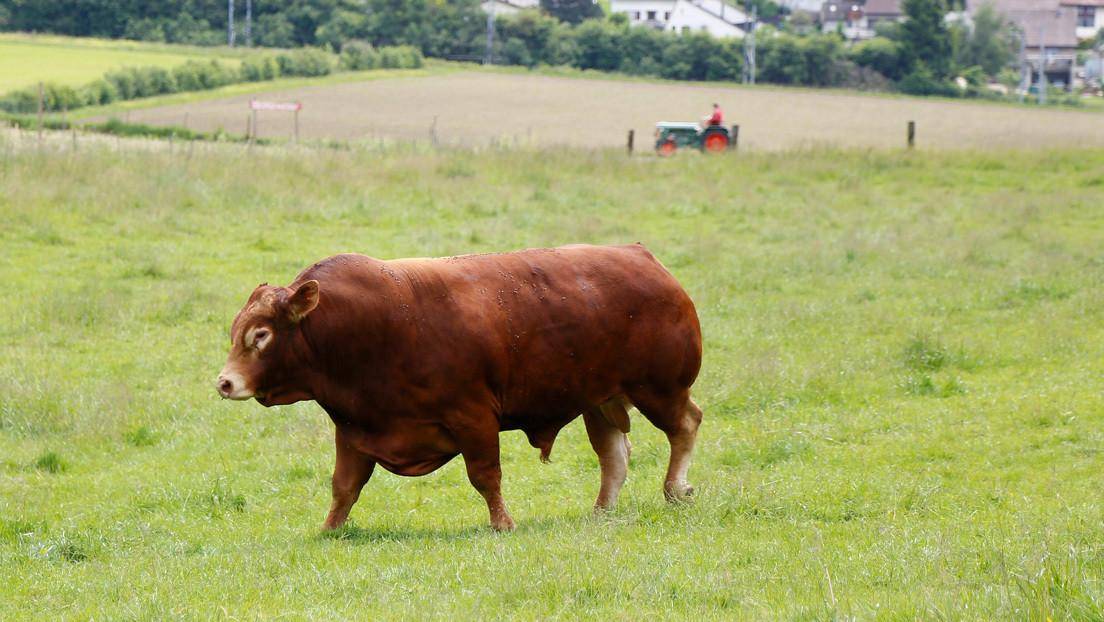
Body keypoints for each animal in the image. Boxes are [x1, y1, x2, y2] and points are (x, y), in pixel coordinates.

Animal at [215, 243, 702, 530]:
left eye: (261, 335)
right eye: (237, 331)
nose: (225, 382)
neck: (372, 327)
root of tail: (642, 257)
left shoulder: (474, 418)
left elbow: (486, 476)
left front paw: (502, 524)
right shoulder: (354, 430)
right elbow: (344, 486)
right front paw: (329, 530)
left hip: (660, 390)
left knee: (686, 425)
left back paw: (675, 488)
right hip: (599, 401)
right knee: (614, 454)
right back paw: (603, 510)